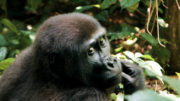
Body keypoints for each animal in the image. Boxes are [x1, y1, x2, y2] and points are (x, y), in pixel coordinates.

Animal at [0, 13, 145, 100]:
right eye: (90, 52)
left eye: (102, 42)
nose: (111, 62)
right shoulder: (90, 95)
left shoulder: (23, 58)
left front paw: (134, 74)